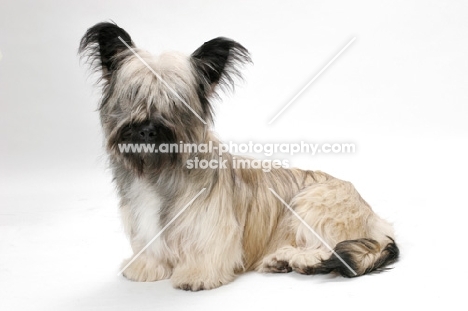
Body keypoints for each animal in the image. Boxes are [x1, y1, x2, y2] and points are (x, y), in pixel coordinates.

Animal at [79, 22, 398, 292]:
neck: (159, 172)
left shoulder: (211, 225)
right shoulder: (144, 224)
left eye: (175, 101)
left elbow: (208, 249)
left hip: (311, 203)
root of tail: (375, 217)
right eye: (133, 94)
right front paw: (146, 266)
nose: (147, 131)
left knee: (325, 247)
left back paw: (296, 259)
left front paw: (197, 274)